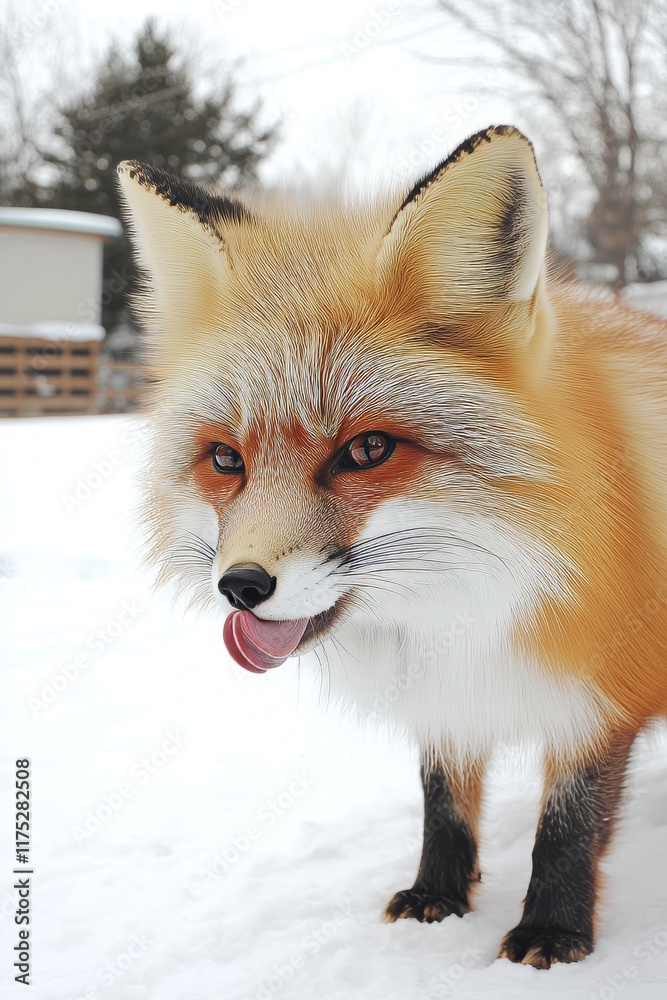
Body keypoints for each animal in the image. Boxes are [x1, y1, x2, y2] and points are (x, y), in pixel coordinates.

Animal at [117, 125, 667, 970]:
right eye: (225, 460)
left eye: (367, 450)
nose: (240, 587)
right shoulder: (445, 690)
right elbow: (443, 800)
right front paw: (435, 900)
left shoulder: (602, 692)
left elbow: (567, 827)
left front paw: (552, 931)